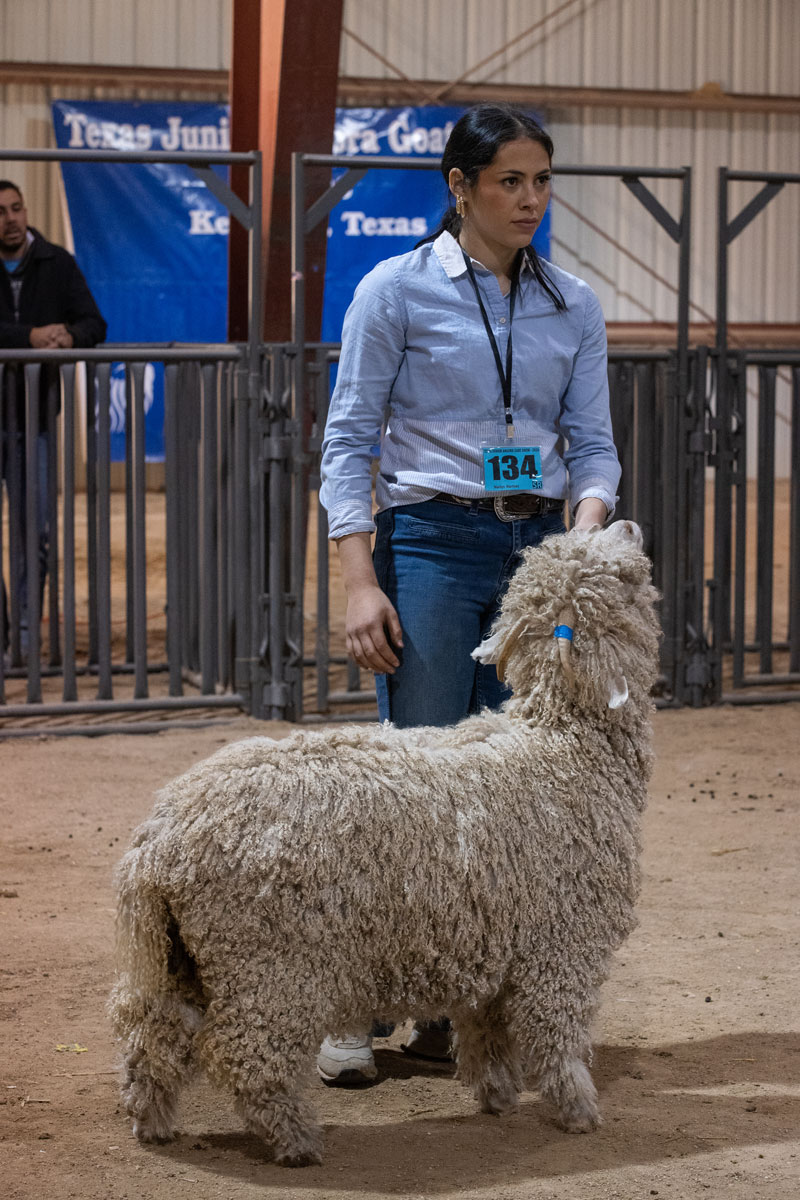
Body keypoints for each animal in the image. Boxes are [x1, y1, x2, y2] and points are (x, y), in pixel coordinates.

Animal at [109, 519, 661, 1167]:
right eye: (623, 577)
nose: (626, 522)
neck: (565, 744)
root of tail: (159, 842)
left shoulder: (497, 945)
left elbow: (487, 1032)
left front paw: (497, 1096)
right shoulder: (563, 946)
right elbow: (559, 1035)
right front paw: (578, 1109)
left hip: (185, 955)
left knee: (152, 1035)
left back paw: (153, 1123)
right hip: (267, 960)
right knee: (250, 1054)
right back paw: (296, 1140)